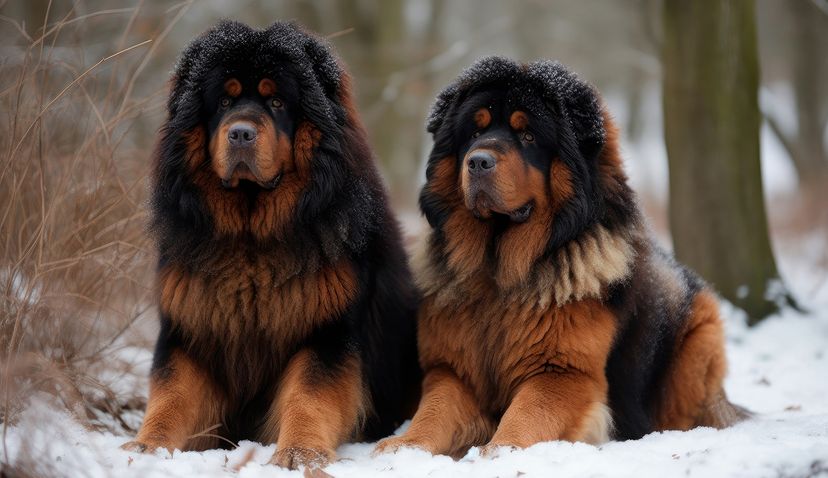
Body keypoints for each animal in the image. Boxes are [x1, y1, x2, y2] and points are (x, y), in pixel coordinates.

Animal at [121, 20, 420, 468]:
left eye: (276, 101)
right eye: (224, 100)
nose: (241, 133)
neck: (251, 237)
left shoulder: (326, 332)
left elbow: (308, 394)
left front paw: (300, 452)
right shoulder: (190, 327)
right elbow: (172, 395)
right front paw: (147, 446)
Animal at [374, 58, 744, 458]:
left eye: (528, 136)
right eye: (475, 132)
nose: (478, 162)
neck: (498, 270)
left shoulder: (562, 373)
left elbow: (524, 415)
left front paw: (500, 451)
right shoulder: (453, 371)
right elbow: (434, 412)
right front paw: (404, 446)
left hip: (699, 337)